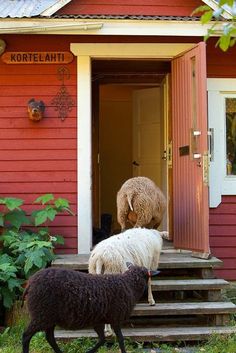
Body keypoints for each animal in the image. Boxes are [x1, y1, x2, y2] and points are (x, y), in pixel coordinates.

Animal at [21, 264, 159, 352]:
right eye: (147, 276)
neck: (129, 284)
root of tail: (30, 283)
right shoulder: (115, 318)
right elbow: (120, 339)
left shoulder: (99, 320)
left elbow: (102, 339)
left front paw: (89, 351)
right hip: (41, 314)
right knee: (26, 336)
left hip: (48, 317)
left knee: (49, 338)